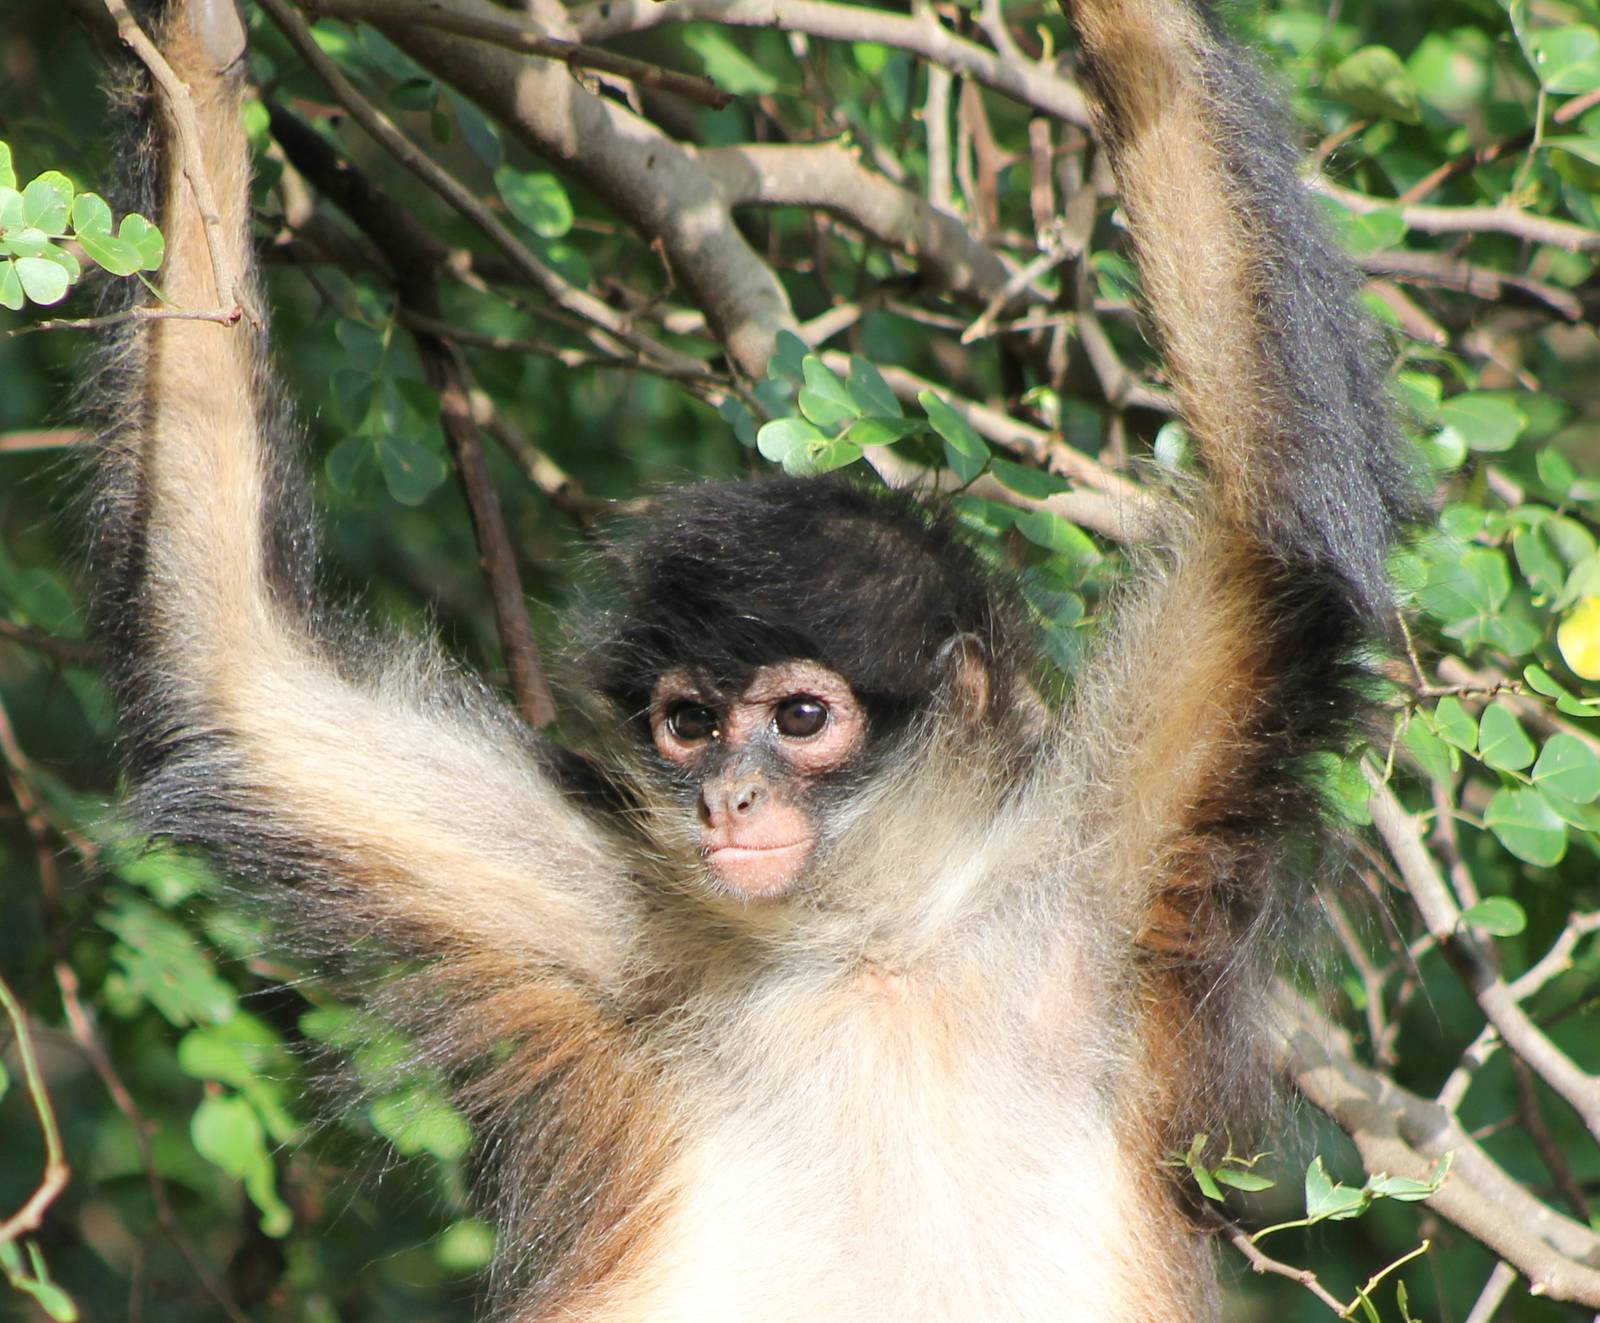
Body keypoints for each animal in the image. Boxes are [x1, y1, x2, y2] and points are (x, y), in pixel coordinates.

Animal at [83, 0, 1419, 1319]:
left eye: (797, 721)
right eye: (688, 725)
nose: (727, 797)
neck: (872, 948)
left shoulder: (1114, 870)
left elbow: (1264, 524)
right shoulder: (618, 932)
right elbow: (236, 673)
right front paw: (200, 47)